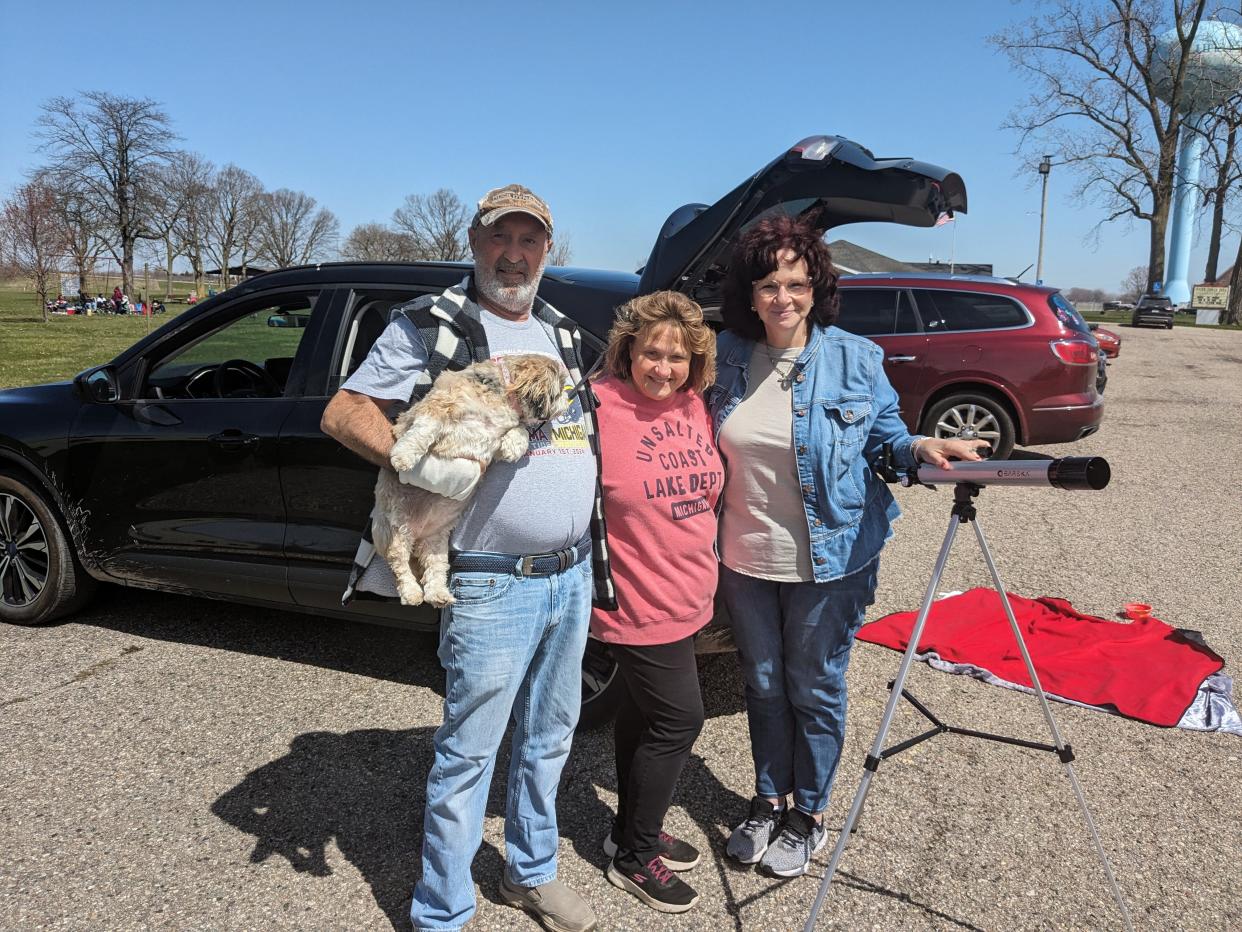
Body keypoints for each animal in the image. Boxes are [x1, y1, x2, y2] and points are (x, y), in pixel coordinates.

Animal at [370, 352, 568, 608]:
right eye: (559, 390)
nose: (568, 400)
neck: (499, 395)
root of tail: (418, 534)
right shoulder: (440, 406)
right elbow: (424, 429)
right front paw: (404, 455)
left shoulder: (497, 439)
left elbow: (521, 429)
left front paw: (514, 446)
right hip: (396, 529)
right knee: (399, 563)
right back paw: (411, 593)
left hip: (435, 543)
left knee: (434, 568)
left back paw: (438, 594)